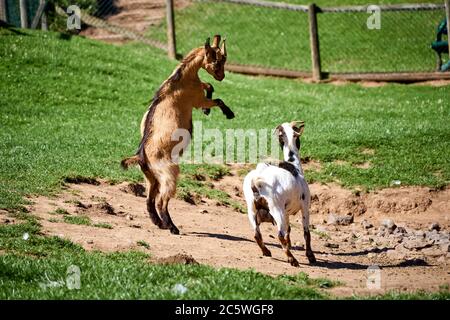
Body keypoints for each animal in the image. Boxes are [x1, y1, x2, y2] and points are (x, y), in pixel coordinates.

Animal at [120, 35, 232, 235]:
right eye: (217, 61)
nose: (222, 76)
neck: (181, 77)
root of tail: (141, 156)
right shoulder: (196, 99)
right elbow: (216, 99)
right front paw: (227, 113)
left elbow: (208, 85)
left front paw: (207, 110)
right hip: (169, 174)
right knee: (161, 201)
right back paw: (172, 227)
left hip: (151, 178)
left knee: (149, 200)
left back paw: (159, 223)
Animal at [243, 121, 316, 266]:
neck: (294, 166)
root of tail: (257, 179)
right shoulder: (305, 206)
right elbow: (306, 233)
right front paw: (310, 256)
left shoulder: (287, 212)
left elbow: (289, 230)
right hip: (276, 209)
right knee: (280, 235)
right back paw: (292, 259)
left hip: (252, 209)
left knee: (257, 234)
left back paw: (267, 252)